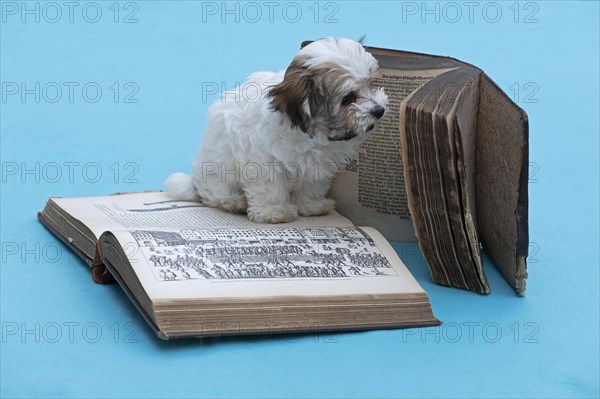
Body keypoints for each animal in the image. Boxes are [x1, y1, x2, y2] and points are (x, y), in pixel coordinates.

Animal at [165, 37, 390, 223]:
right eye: (348, 98)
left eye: (371, 83)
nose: (379, 110)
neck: (307, 131)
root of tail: (195, 181)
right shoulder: (262, 161)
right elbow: (270, 187)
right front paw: (274, 212)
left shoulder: (319, 163)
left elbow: (313, 185)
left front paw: (312, 206)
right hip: (216, 171)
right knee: (214, 195)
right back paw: (234, 201)